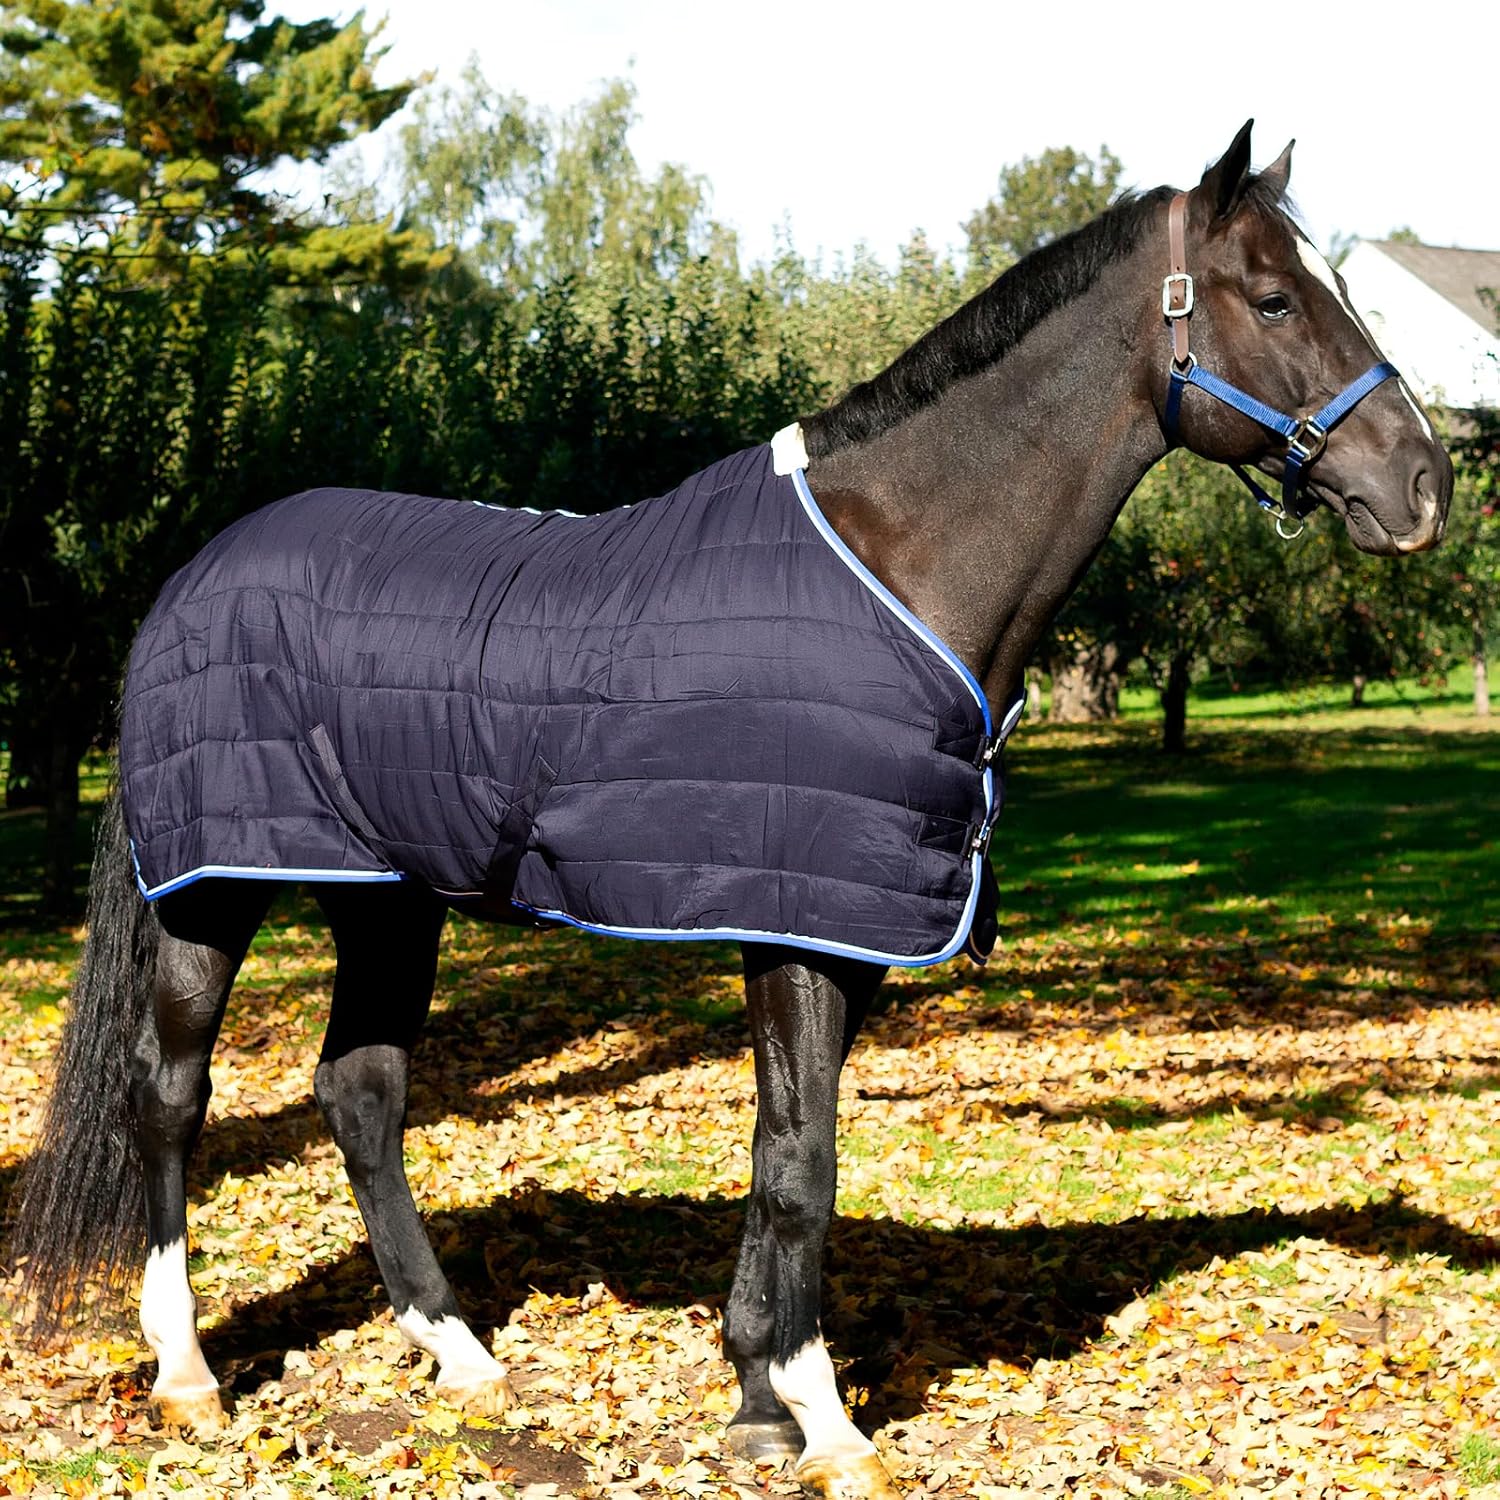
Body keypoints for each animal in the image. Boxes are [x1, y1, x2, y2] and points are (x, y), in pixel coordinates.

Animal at [10, 121, 1451, 1500]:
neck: (899, 562)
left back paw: (458, 1350)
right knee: (169, 1096)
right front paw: (827, 1422)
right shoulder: (798, 931)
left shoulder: (842, 938)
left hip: (388, 900)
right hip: (215, 890)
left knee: (360, 1092)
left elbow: (777, 1153)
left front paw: (758, 1398)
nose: (1425, 488)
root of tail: (197, 571)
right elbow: (804, 1167)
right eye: (1275, 297)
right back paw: (188, 1373)